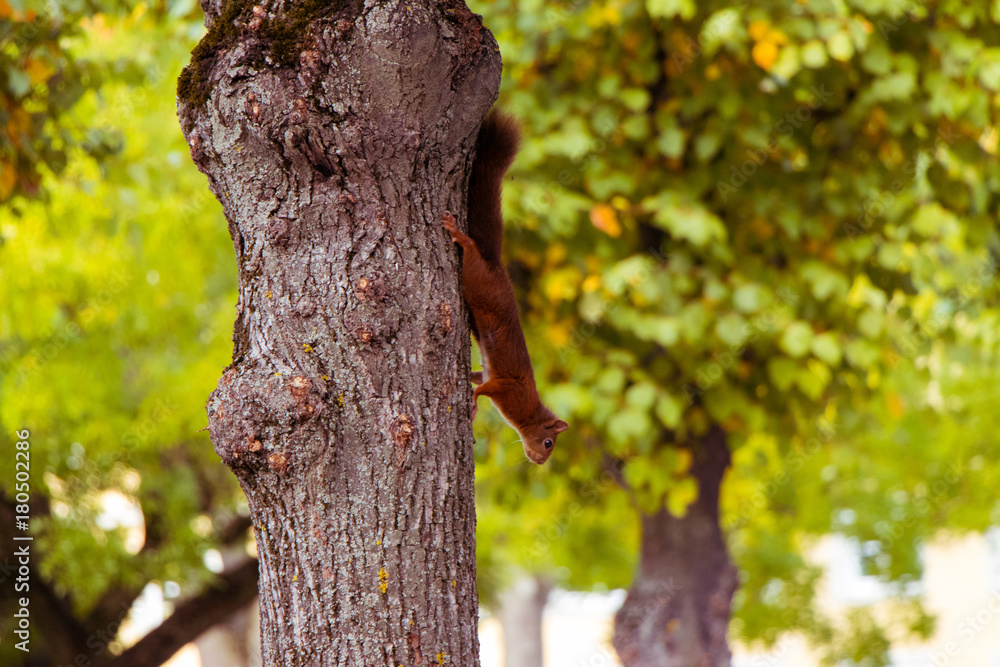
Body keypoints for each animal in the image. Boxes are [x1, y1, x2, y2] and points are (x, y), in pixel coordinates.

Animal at [443, 110, 568, 465]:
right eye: (549, 443)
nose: (539, 462)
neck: (529, 410)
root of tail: (496, 266)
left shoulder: (491, 378)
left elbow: (477, 379)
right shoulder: (507, 388)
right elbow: (482, 390)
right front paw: (472, 405)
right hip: (476, 279)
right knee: (471, 252)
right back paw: (458, 233)